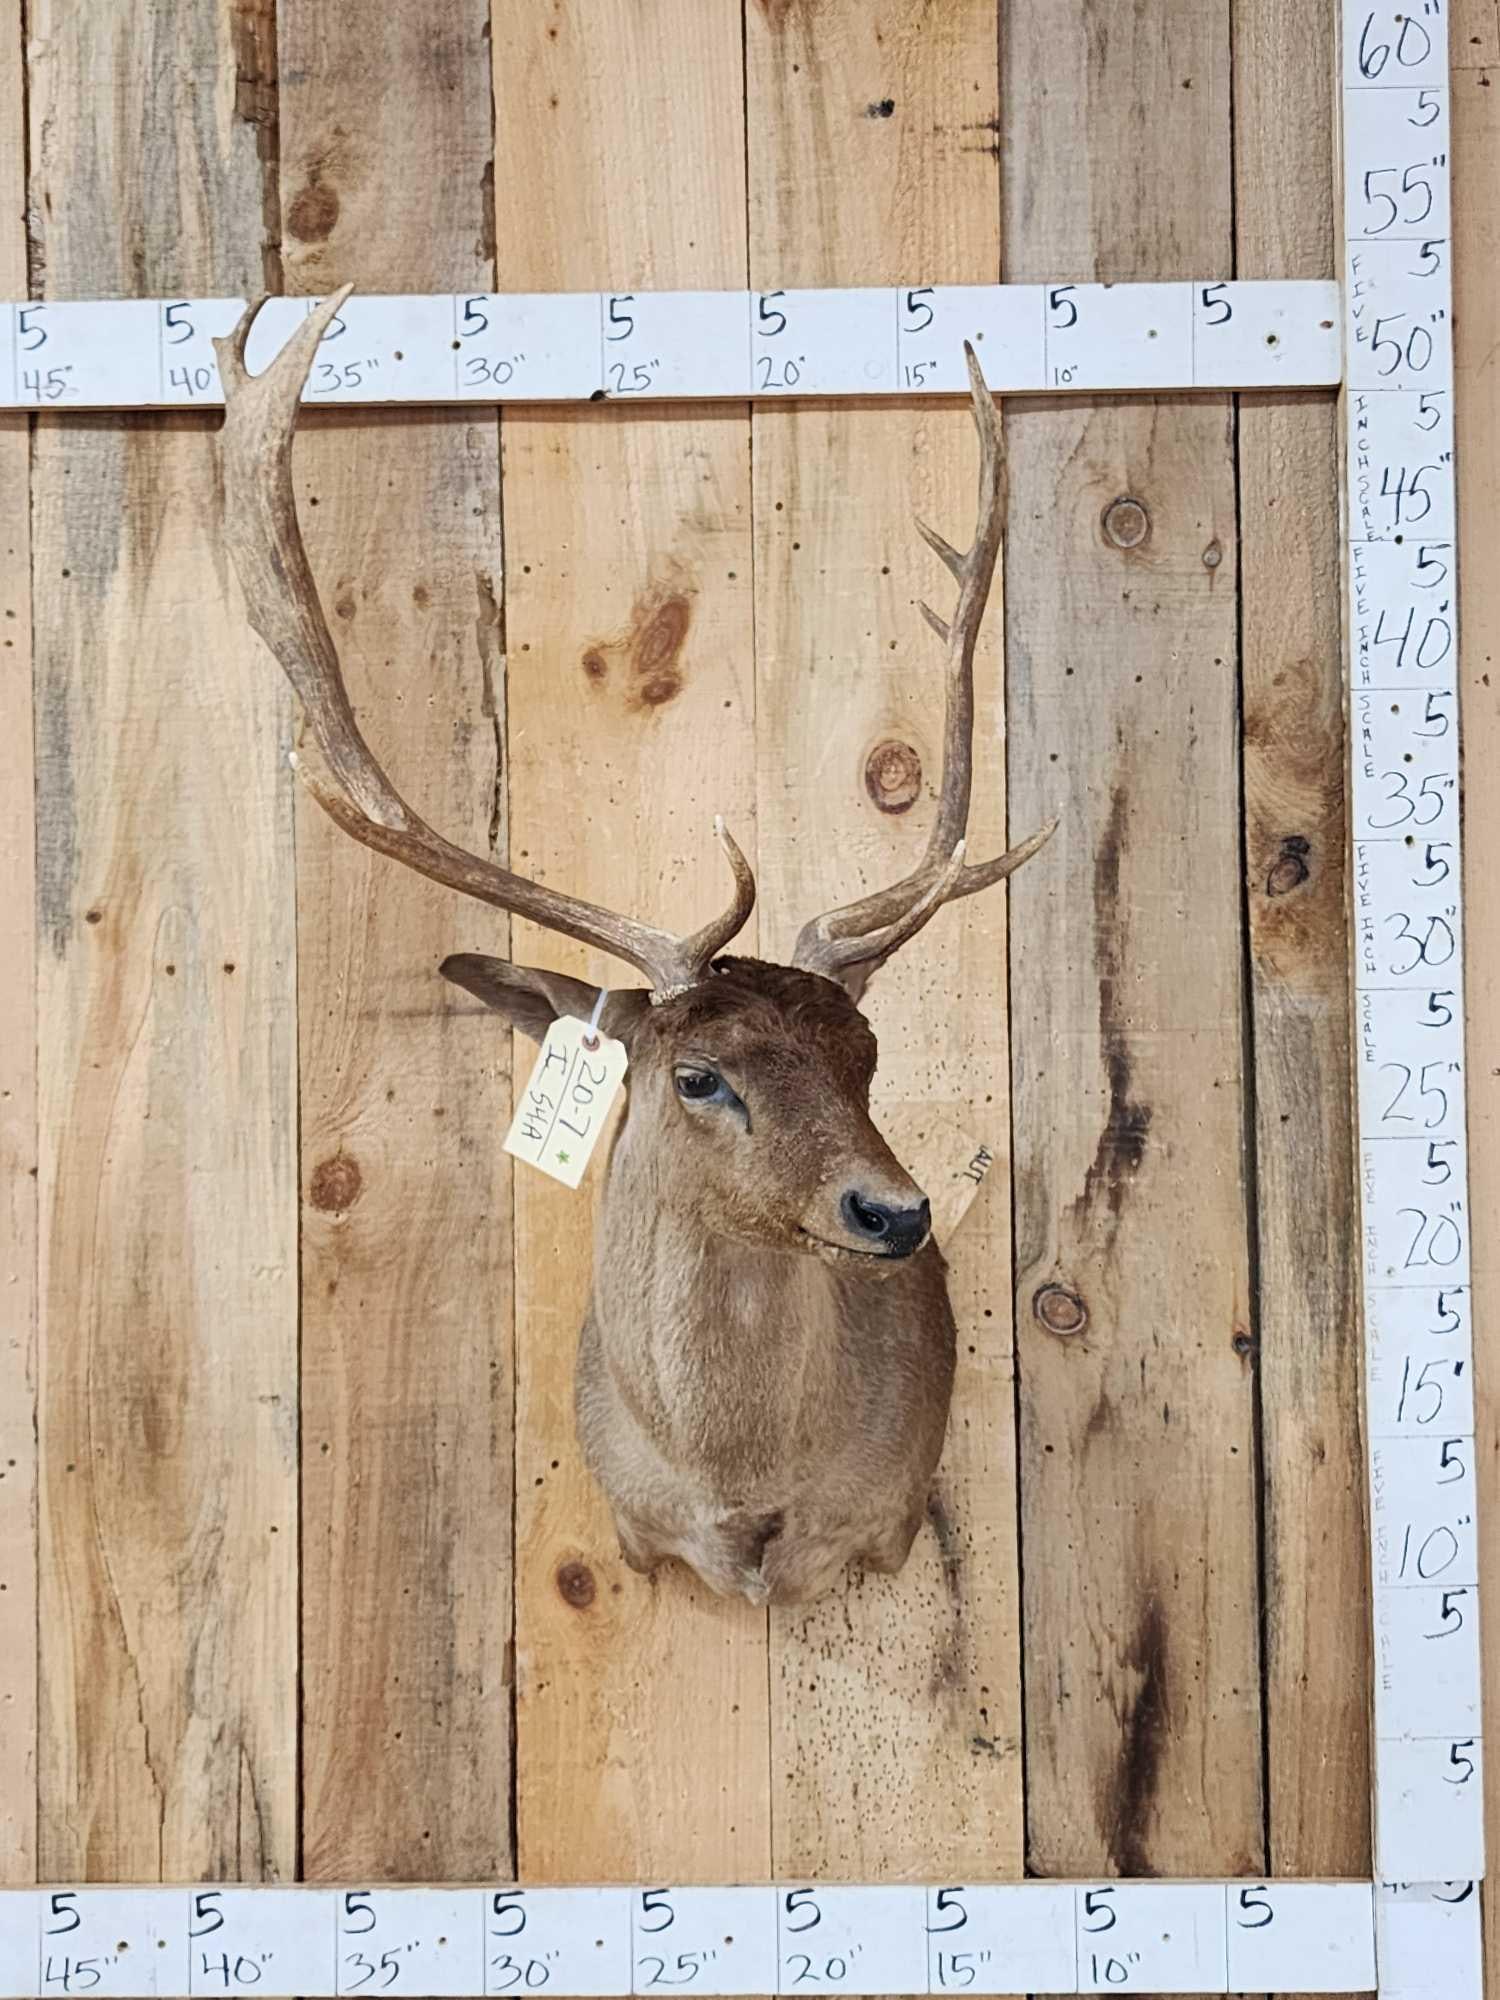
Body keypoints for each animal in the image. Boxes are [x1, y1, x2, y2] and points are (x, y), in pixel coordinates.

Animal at [214, 286, 1053, 1606]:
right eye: (699, 1074)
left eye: (867, 1057)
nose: (896, 1212)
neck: (743, 1495)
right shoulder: (635, 1529)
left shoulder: (888, 1522)